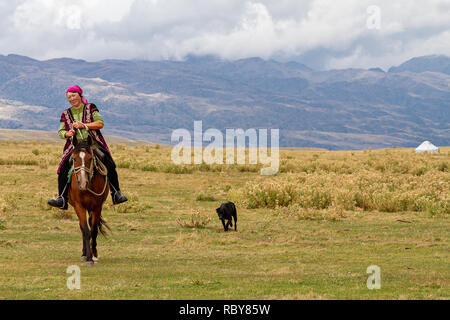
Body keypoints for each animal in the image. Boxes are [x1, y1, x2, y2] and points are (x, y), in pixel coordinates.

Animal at [69, 134, 110, 264]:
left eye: (91, 158)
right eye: (74, 159)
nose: (82, 183)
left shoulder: (97, 206)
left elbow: (94, 230)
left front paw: (94, 255)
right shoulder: (79, 206)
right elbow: (86, 230)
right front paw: (88, 257)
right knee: (82, 228)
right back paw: (84, 253)